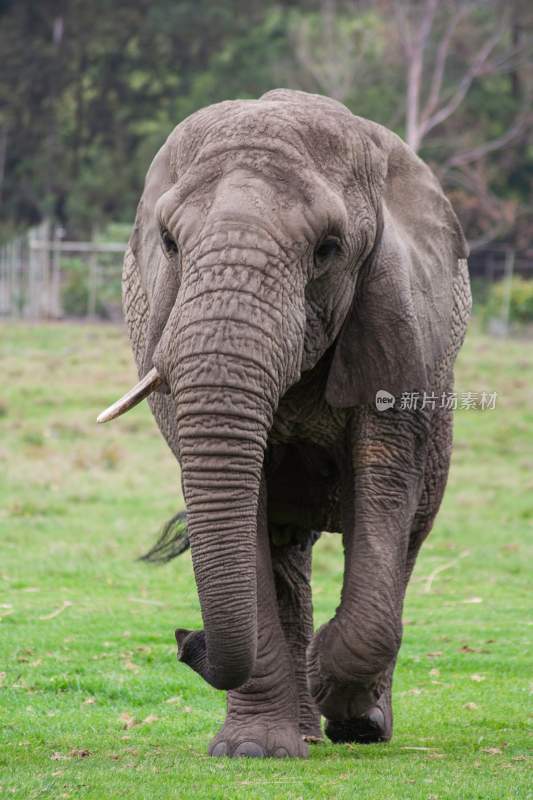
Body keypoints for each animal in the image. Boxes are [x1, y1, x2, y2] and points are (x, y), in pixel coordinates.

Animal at [98, 87, 470, 756]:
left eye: (328, 250)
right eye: (168, 242)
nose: (184, 640)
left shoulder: (397, 320)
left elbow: (384, 487)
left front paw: (337, 695)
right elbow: (249, 512)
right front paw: (253, 751)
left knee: (408, 536)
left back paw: (356, 726)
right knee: (282, 548)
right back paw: (295, 736)